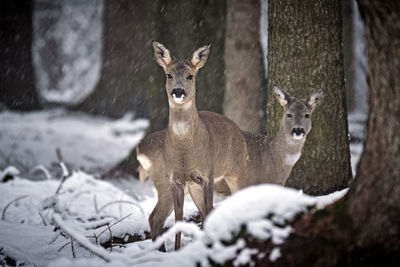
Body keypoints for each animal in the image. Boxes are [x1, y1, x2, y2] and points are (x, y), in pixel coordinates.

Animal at [137, 41, 247, 251]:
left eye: (190, 75)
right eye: (169, 75)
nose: (178, 91)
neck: (185, 153)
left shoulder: (207, 175)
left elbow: (206, 212)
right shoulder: (175, 179)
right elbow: (179, 218)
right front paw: (178, 250)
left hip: (233, 173)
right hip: (174, 184)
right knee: (158, 218)